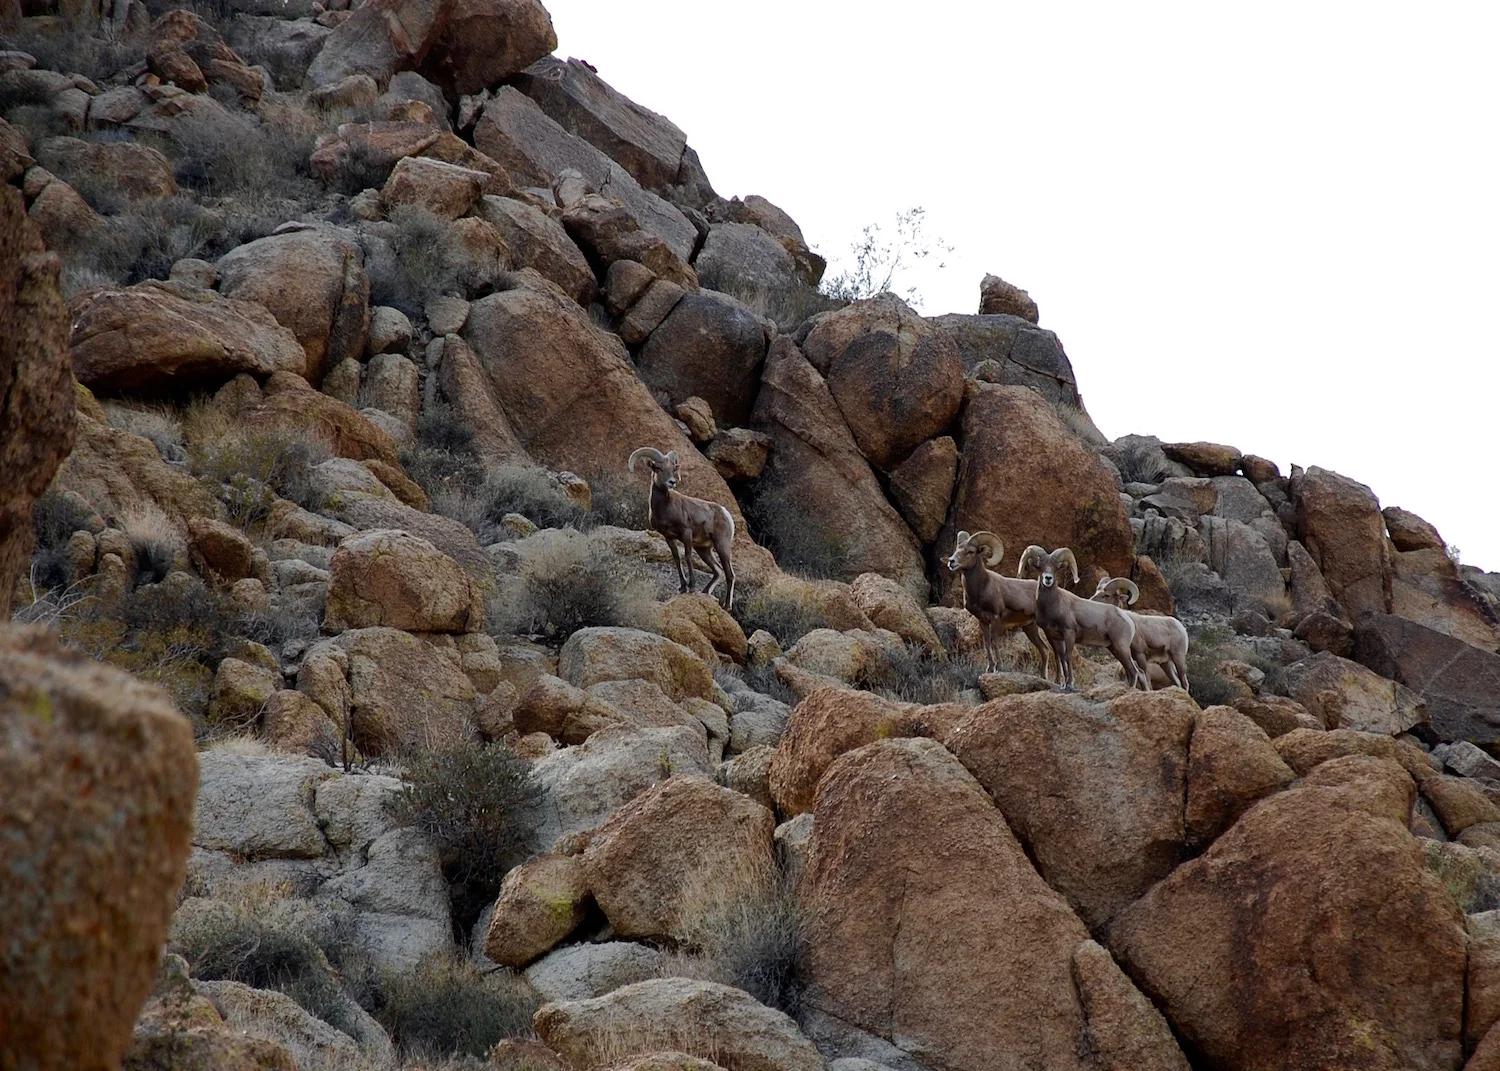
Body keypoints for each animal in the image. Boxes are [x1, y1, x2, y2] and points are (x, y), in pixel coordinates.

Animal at [627, 446, 736, 608]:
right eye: (658, 468)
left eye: (673, 469)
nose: (672, 482)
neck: (665, 508)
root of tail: (724, 512)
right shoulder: (668, 536)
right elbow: (677, 558)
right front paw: (683, 588)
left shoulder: (686, 533)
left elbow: (687, 557)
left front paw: (691, 587)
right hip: (704, 549)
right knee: (718, 571)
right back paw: (705, 592)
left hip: (721, 545)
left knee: (730, 574)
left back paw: (727, 606)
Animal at [945, 530, 1052, 677]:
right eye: (957, 549)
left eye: (971, 551)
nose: (951, 562)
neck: (981, 588)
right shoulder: (982, 621)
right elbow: (987, 643)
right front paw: (989, 668)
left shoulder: (995, 618)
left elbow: (994, 642)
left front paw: (998, 667)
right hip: (1030, 627)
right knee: (1044, 650)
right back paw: (1045, 678)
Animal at [1018, 545, 1145, 692]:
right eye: (1040, 567)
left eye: (1056, 568)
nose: (1048, 578)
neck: (1053, 604)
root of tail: (1128, 620)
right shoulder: (1053, 635)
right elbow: (1060, 657)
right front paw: (1063, 684)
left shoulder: (1069, 632)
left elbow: (1067, 656)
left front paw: (1070, 684)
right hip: (1114, 648)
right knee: (1131, 671)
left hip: (1121, 647)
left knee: (1134, 672)